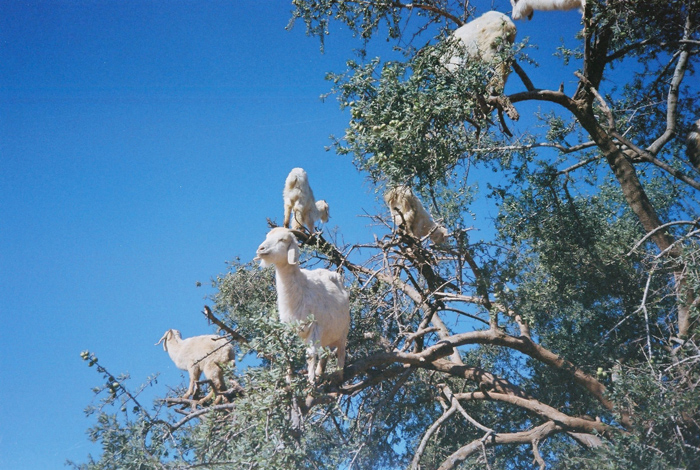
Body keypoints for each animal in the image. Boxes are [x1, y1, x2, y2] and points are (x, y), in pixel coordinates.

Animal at [255, 227, 350, 383]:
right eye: (267, 237)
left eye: (282, 240)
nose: (261, 249)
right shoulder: (288, 329)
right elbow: (287, 353)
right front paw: (289, 380)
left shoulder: (315, 326)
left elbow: (311, 355)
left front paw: (311, 381)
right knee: (325, 353)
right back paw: (320, 372)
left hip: (342, 331)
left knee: (341, 352)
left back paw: (339, 376)